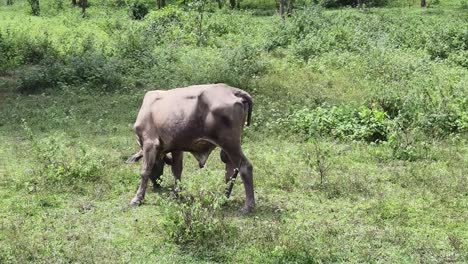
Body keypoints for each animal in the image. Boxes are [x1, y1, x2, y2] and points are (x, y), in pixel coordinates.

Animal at [126, 84, 254, 212]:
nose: (158, 184)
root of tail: (232, 90)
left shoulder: (150, 143)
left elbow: (145, 171)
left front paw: (137, 199)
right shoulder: (176, 148)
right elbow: (177, 170)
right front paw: (176, 193)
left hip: (230, 144)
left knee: (245, 167)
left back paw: (248, 206)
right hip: (228, 149)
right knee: (230, 171)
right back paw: (223, 199)